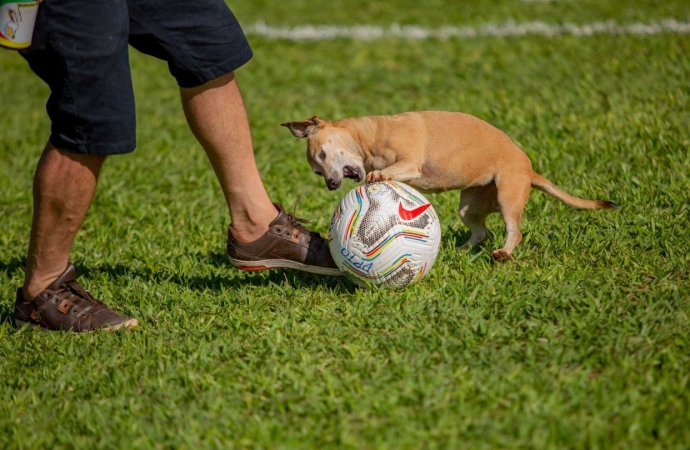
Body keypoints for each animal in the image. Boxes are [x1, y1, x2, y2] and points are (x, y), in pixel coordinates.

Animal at [282, 111, 616, 260]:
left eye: (323, 155)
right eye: (317, 171)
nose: (330, 184)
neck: (370, 135)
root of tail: (529, 168)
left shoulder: (410, 163)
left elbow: (385, 172)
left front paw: (376, 176)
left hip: (508, 194)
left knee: (514, 231)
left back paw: (503, 253)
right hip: (470, 205)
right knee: (481, 231)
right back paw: (461, 249)